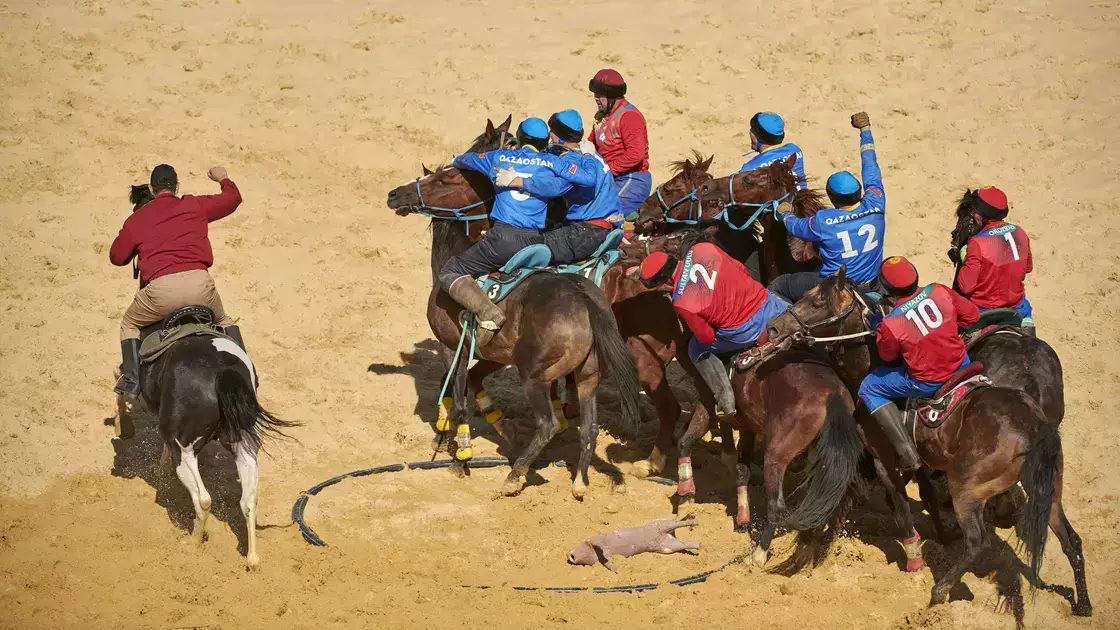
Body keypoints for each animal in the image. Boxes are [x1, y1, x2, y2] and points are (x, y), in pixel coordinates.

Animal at [766, 273, 1088, 614]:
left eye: (815, 301)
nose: (774, 328)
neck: (869, 365)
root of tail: (1033, 424)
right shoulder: (917, 463)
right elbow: (923, 497)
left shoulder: (883, 461)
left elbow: (898, 507)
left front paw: (913, 558)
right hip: (1048, 491)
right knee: (1071, 540)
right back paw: (1083, 603)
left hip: (967, 490)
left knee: (978, 543)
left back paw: (939, 591)